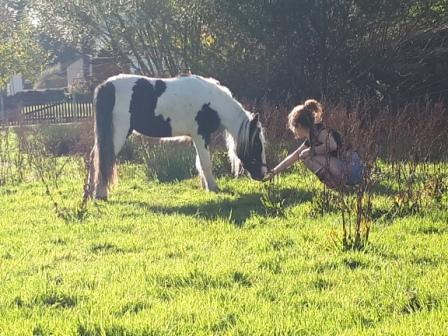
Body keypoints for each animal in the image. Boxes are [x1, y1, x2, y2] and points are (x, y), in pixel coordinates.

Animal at [89, 74, 268, 200]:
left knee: (94, 157)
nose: (263, 174)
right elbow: (205, 163)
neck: (212, 103)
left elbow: (199, 163)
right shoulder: (201, 135)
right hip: (117, 134)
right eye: (257, 145)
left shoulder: (197, 137)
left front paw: (205, 186)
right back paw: (101, 194)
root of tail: (106, 86)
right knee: (104, 158)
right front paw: (213, 188)